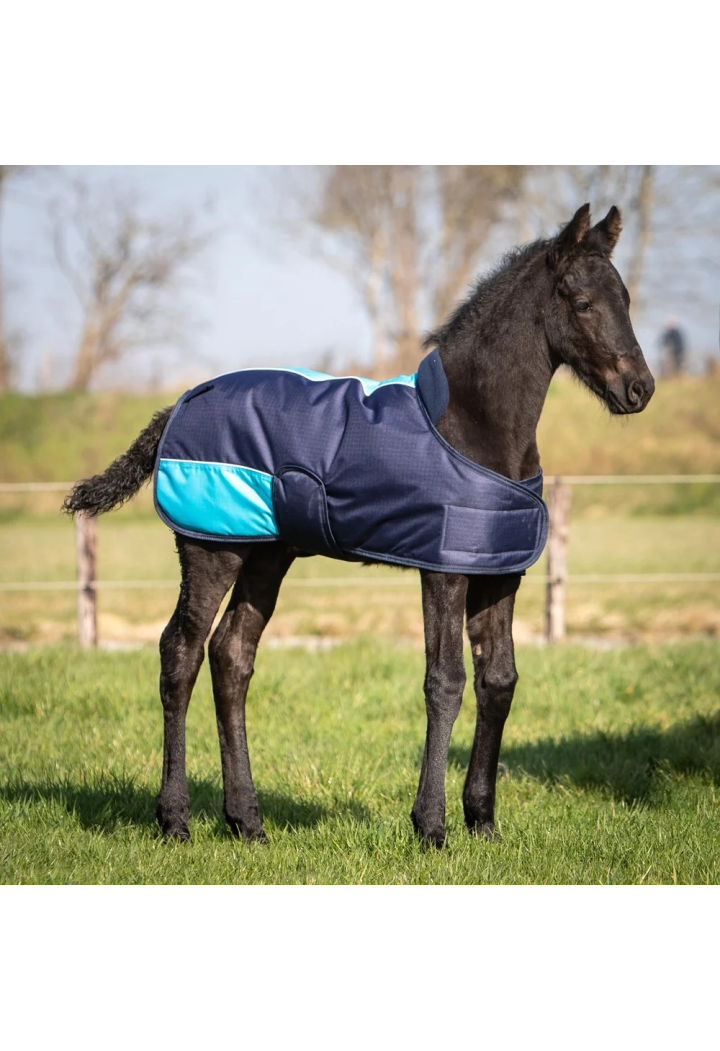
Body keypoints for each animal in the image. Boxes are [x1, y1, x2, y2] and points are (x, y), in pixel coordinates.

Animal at [64, 204, 654, 847]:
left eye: (626, 298)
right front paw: (431, 828)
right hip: (209, 547)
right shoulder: (443, 570)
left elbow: (499, 681)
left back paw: (247, 822)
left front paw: (483, 822)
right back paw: (175, 820)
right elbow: (445, 682)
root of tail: (179, 405)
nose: (639, 389)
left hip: (265, 554)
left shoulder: (499, 572)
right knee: (181, 653)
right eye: (582, 302)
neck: (472, 425)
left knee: (231, 656)